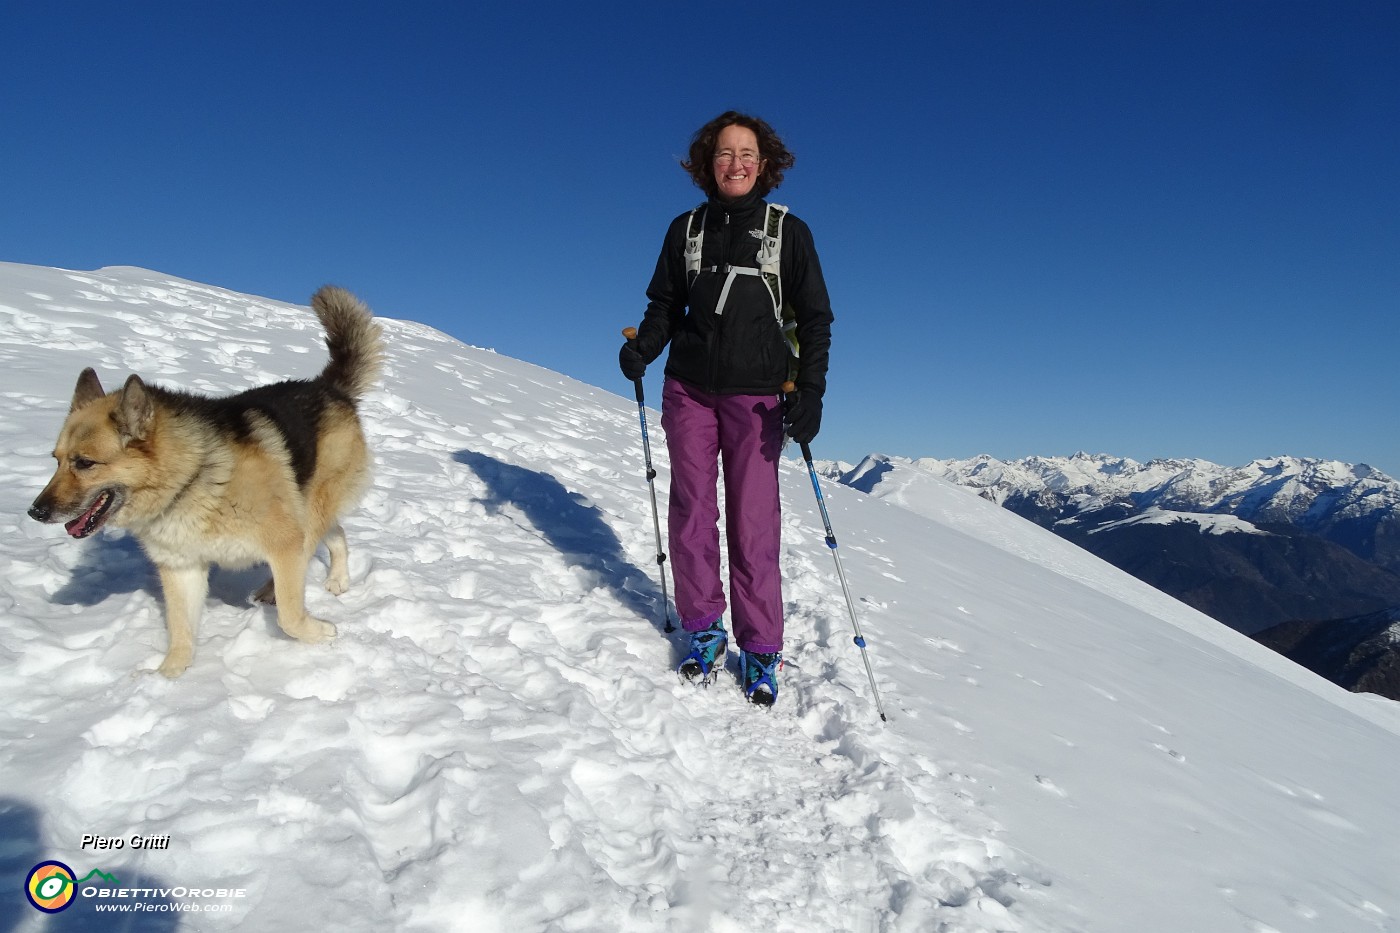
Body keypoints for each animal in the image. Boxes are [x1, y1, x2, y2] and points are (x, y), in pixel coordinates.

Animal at [27, 282, 386, 675]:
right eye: (56, 460)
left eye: (85, 463)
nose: (35, 512)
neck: (190, 480)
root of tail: (329, 387)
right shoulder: (182, 567)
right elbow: (182, 631)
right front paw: (168, 678)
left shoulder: (284, 541)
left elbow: (291, 616)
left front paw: (320, 633)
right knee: (336, 534)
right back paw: (329, 581)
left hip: (310, 509)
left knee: (317, 545)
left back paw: (302, 586)